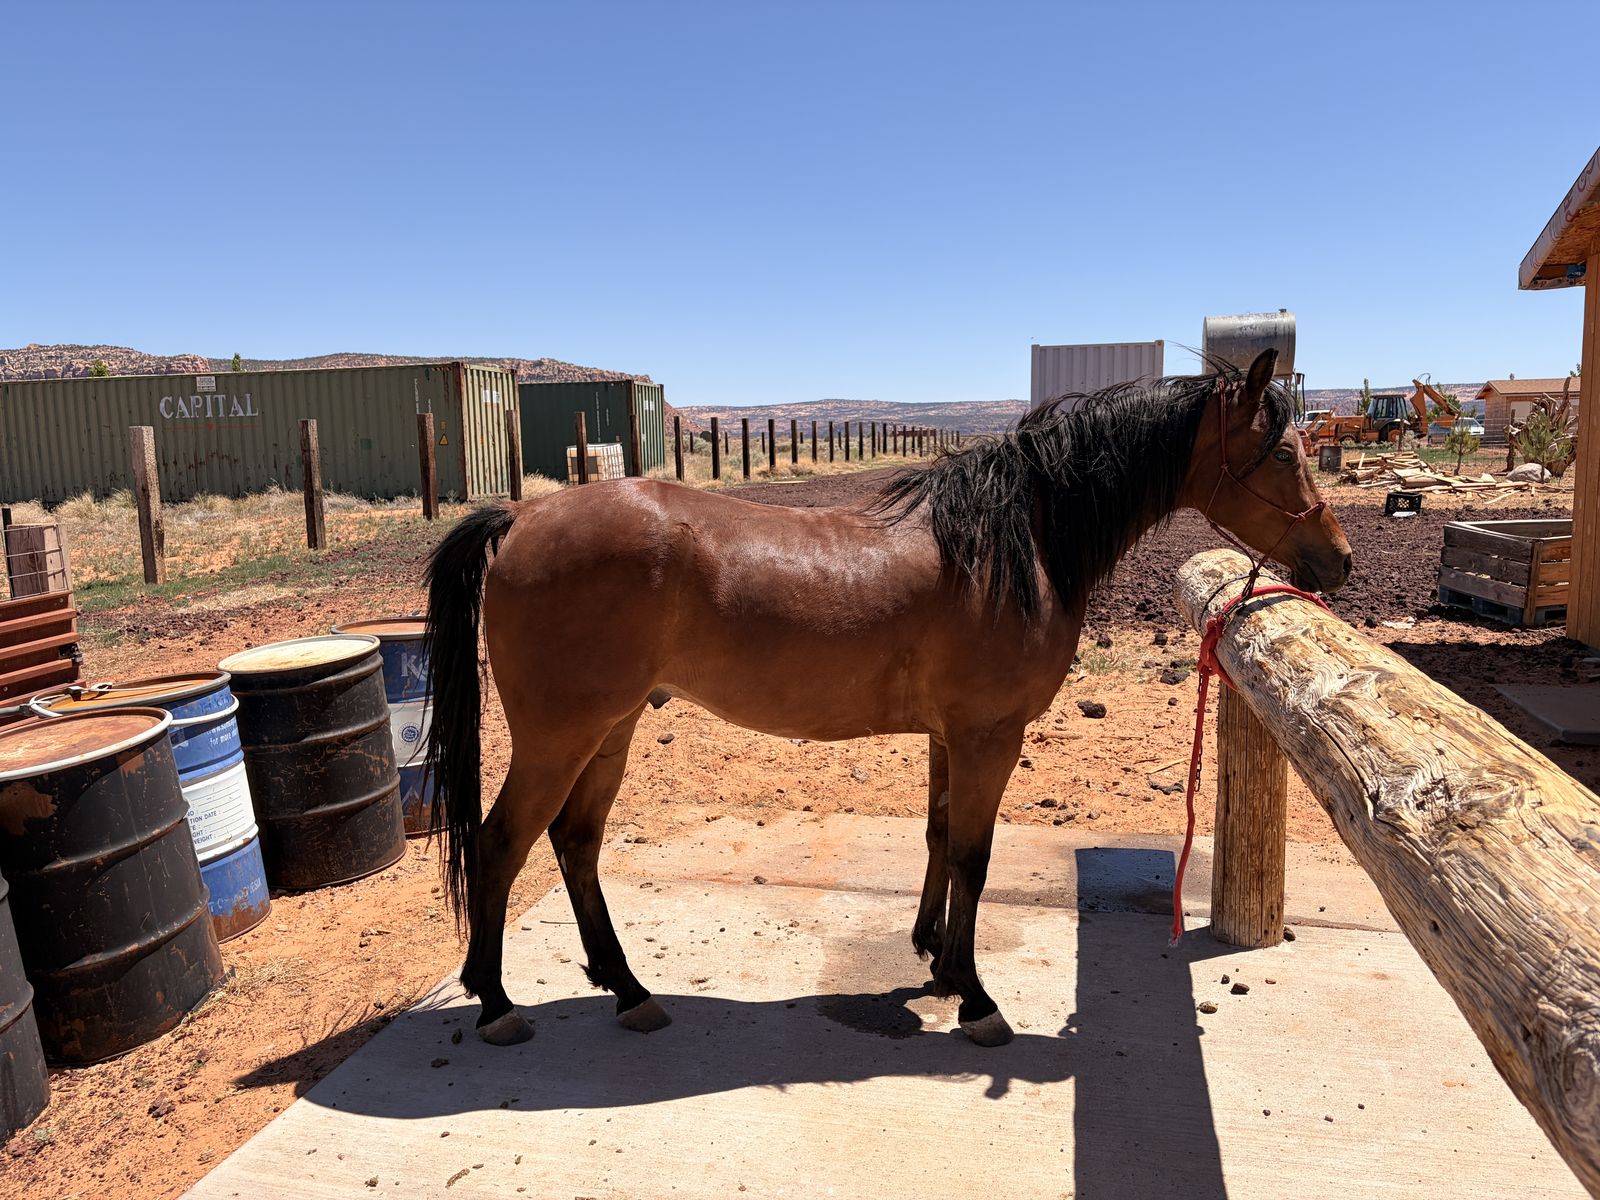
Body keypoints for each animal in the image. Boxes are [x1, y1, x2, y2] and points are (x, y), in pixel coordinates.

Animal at [422, 348, 1352, 1049]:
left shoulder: (950, 736)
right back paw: (498, 1004)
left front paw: (935, 957)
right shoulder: (989, 736)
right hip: (559, 736)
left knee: (575, 845)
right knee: (502, 844)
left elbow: (941, 839)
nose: (1338, 561)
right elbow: (974, 856)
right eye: (1281, 453)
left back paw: (628, 991)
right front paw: (973, 996)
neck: (1018, 543)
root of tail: (518, 520)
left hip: (609, 731)